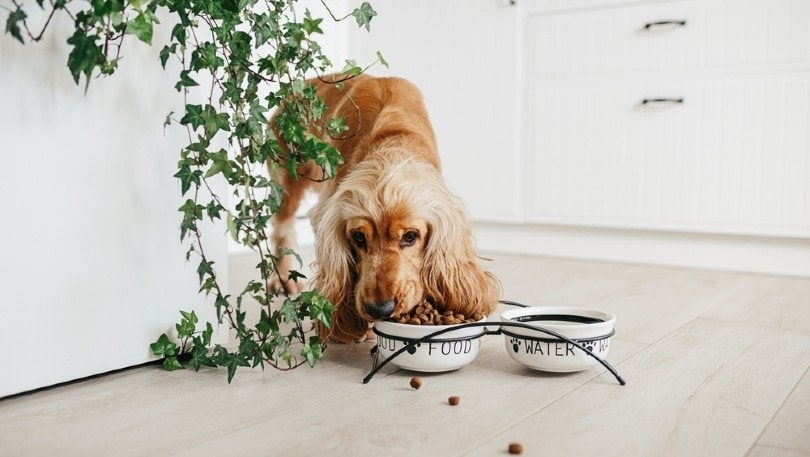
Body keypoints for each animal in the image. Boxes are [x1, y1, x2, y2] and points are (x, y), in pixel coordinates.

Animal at [270, 74, 498, 342]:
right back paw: (283, 279)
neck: (391, 144)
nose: (379, 309)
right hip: (286, 180)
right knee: (282, 227)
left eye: (410, 237)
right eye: (358, 237)